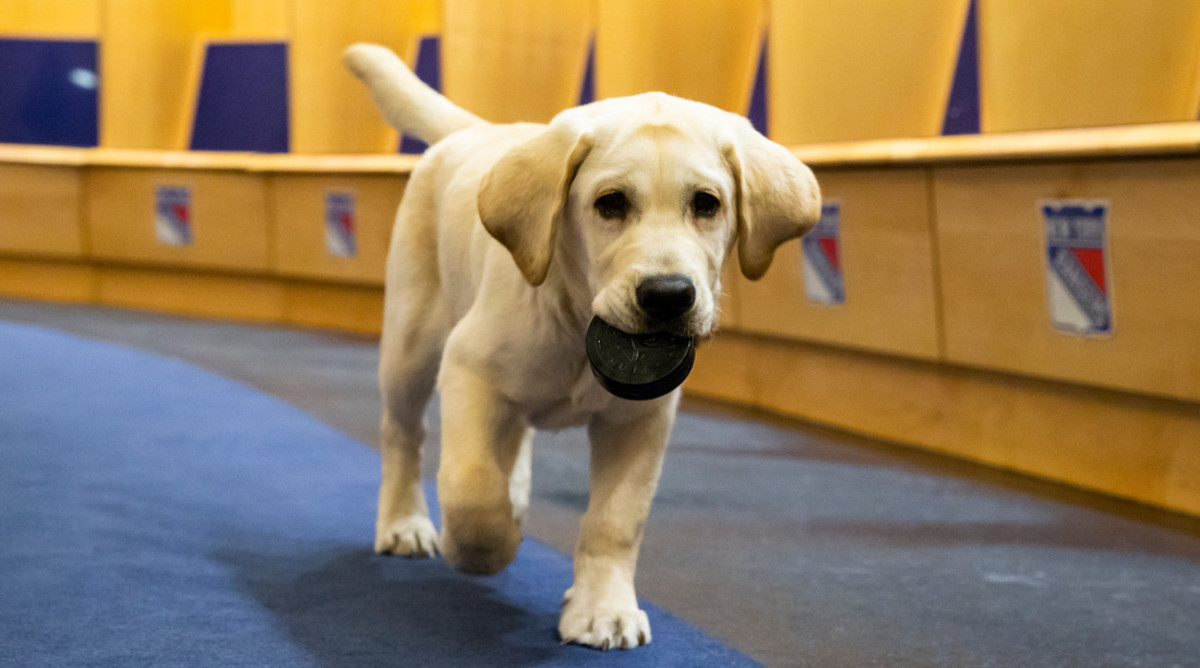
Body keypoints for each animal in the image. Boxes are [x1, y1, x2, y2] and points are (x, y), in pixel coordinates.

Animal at [343, 44, 820, 647]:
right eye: (610, 203)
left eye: (707, 204)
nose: (668, 295)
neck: (576, 322)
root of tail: (480, 130)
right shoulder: (468, 370)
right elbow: (471, 486)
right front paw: (480, 546)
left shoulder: (641, 419)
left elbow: (616, 520)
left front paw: (603, 608)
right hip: (412, 344)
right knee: (404, 435)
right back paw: (404, 523)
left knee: (510, 441)